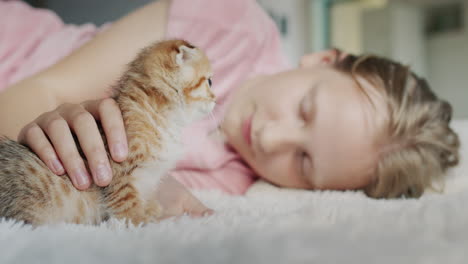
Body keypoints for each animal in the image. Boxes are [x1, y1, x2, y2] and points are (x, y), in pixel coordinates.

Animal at [0, 40, 216, 226]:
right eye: (210, 82)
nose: (216, 99)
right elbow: (126, 203)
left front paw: (152, 210)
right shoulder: (118, 172)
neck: (161, 117)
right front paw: (142, 220)